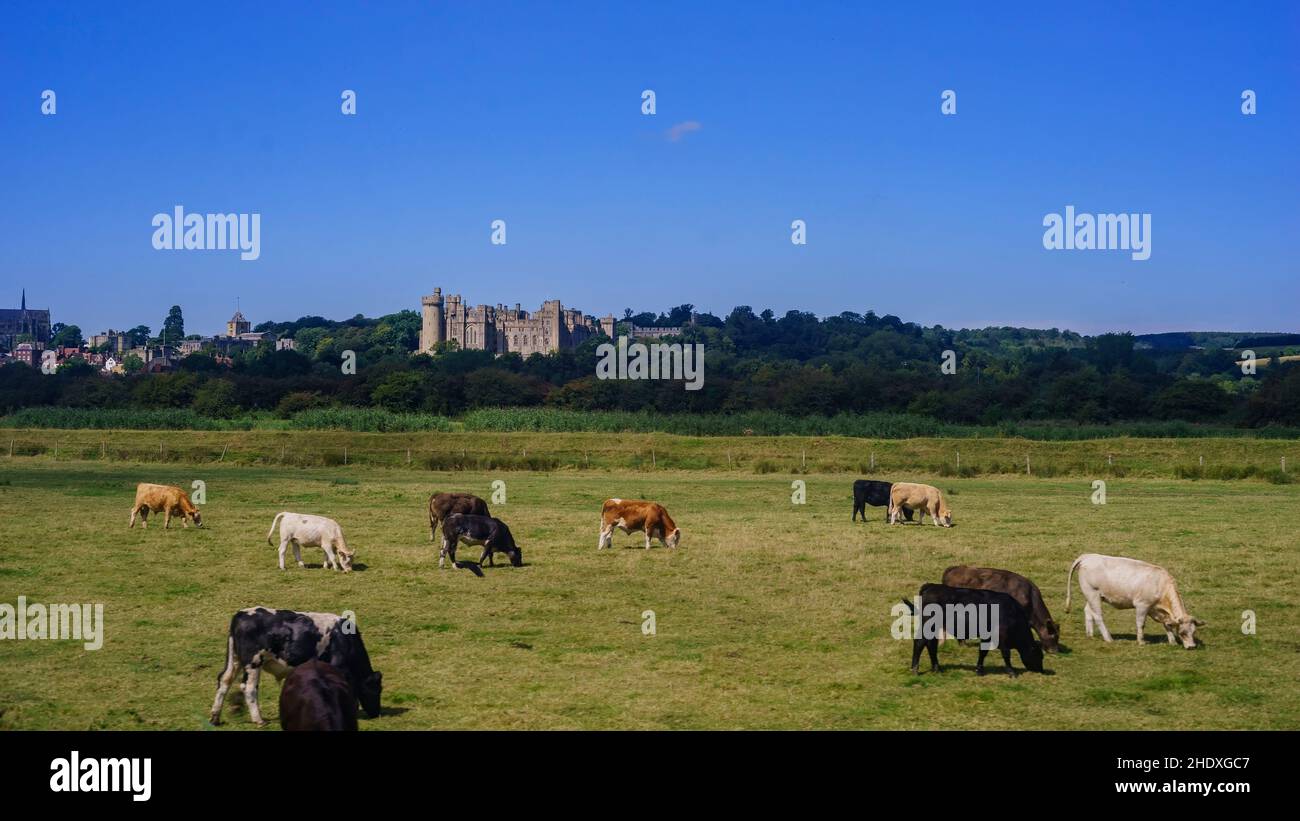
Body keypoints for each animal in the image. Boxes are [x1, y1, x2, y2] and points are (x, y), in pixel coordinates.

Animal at [208, 605, 379, 727]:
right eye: (377, 689)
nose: (376, 714)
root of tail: (241, 614)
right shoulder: (338, 665)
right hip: (253, 662)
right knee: (249, 688)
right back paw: (259, 720)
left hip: (235, 660)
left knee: (224, 681)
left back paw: (215, 718)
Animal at [904, 587, 1045, 675]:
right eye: (1039, 655)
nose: (1041, 670)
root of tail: (930, 587)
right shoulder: (1001, 637)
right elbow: (1006, 654)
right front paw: (1011, 672)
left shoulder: (987, 636)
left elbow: (983, 652)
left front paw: (980, 669)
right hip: (928, 626)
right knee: (920, 643)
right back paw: (915, 669)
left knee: (931, 644)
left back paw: (936, 668)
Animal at [1060, 555, 1201, 652]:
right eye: (1182, 633)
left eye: (1194, 632)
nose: (1192, 647)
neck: (1160, 584)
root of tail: (1087, 556)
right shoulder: (1142, 605)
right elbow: (1141, 624)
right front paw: (1141, 642)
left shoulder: (1155, 609)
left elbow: (1167, 624)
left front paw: (1172, 642)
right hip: (1092, 594)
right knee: (1098, 616)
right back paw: (1108, 638)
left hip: (1094, 596)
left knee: (1088, 611)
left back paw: (1090, 635)